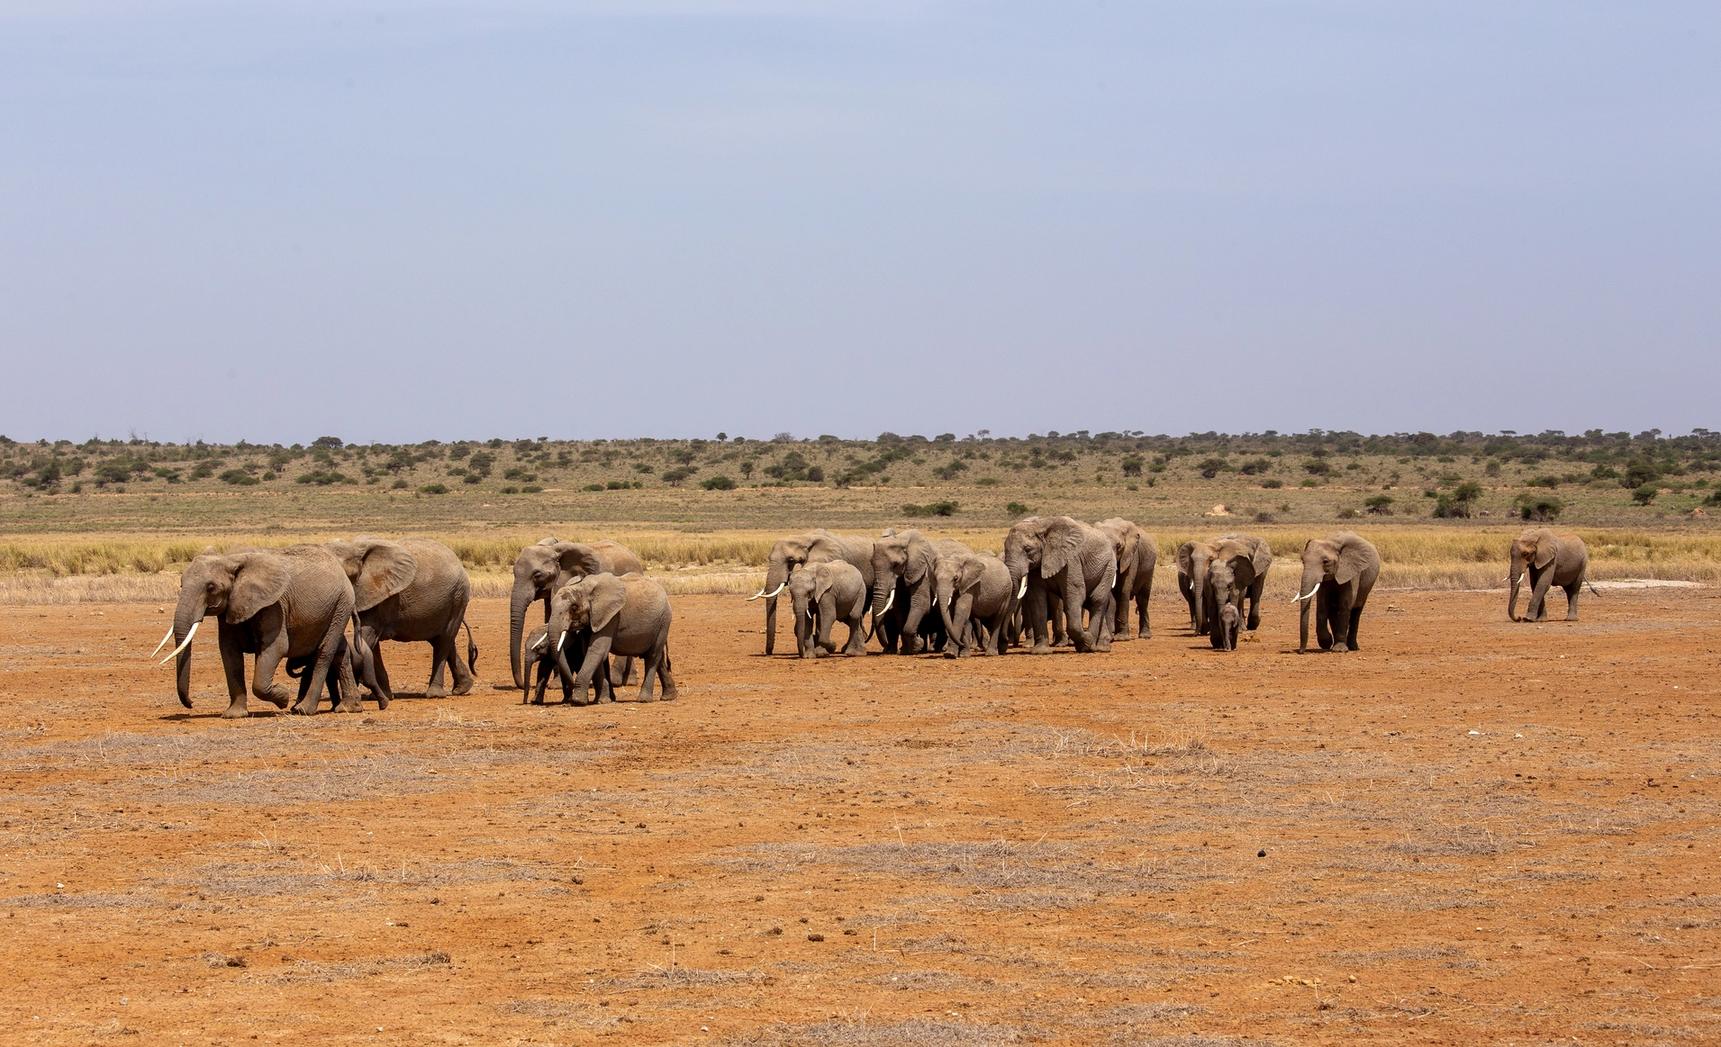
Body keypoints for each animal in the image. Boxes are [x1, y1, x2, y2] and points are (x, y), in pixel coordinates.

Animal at [153, 545, 357, 718]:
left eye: (211, 587)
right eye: (181, 584)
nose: (191, 703)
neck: (230, 559)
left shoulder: (274, 606)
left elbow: (276, 649)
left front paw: (283, 697)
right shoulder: (232, 606)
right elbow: (229, 653)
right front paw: (234, 715)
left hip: (342, 603)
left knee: (324, 653)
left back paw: (302, 710)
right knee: (340, 651)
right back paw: (348, 708)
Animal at [326, 537, 476, 702]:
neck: (353, 546)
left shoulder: (381, 596)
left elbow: (366, 638)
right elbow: (371, 644)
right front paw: (382, 696)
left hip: (458, 597)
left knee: (444, 641)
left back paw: (435, 694)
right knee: (442, 640)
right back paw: (462, 688)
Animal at [508, 538, 643, 689]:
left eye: (537, 575)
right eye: (514, 573)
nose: (522, 685)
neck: (553, 549)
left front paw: (557, 685)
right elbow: (550, 620)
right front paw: (556, 684)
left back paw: (616, 681)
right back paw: (629, 681)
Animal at [548, 573, 676, 703]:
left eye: (574, 608)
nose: (571, 688)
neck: (583, 587)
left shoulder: (610, 616)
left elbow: (597, 650)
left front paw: (579, 701)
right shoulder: (593, 620)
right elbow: (590, 651)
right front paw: (602, 700)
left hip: (664, 621)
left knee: (652, 657)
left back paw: (644, 700)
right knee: (659, 659)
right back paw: (669, 697)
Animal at [1003, 516, 1116, 654]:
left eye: (1028, 550)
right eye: (1005, 549)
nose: (1006, 640)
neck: (1040, 526)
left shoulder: (1071, 561)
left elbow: (1075, 593)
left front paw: (1086, 643)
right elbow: (1037, 601)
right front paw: (1041, 651)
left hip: (1109, 566)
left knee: (1096, 600)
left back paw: (1092, 646)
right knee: (1091, 602)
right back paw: (1102, 647)